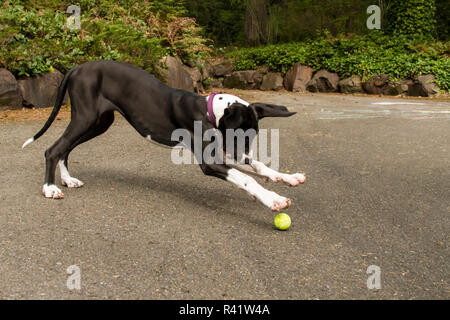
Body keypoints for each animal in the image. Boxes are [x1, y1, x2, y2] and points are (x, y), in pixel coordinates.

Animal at [22, 60, 306, 211]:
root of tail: (77, 68)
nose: (243, 156)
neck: (208, 110)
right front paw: (273, 199)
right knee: (53, 149)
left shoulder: (223, 153)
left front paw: (287, 177)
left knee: (65, 148)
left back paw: (67, 180)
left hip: (98, 122)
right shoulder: (211, 161)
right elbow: (246, 178)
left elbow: (258, 167)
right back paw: (50, 188)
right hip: (86, 118)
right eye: (238, 135)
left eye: (252, 137)